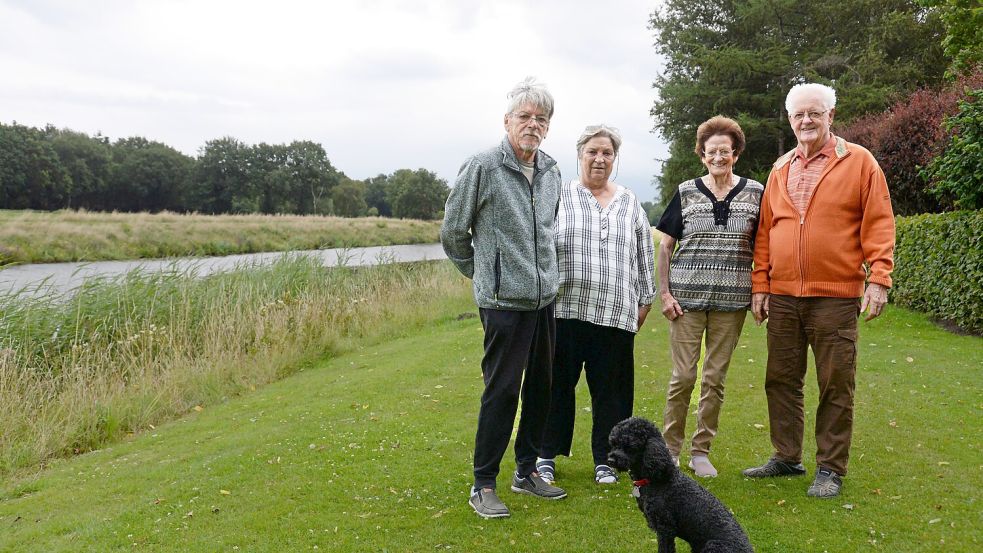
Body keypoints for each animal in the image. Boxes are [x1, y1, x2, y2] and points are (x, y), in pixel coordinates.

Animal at [608, 416, 752, 548]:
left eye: (630, 446)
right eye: (614, 443)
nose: (610, 460)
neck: (656, 479)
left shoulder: (665, 529)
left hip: (712, 545)